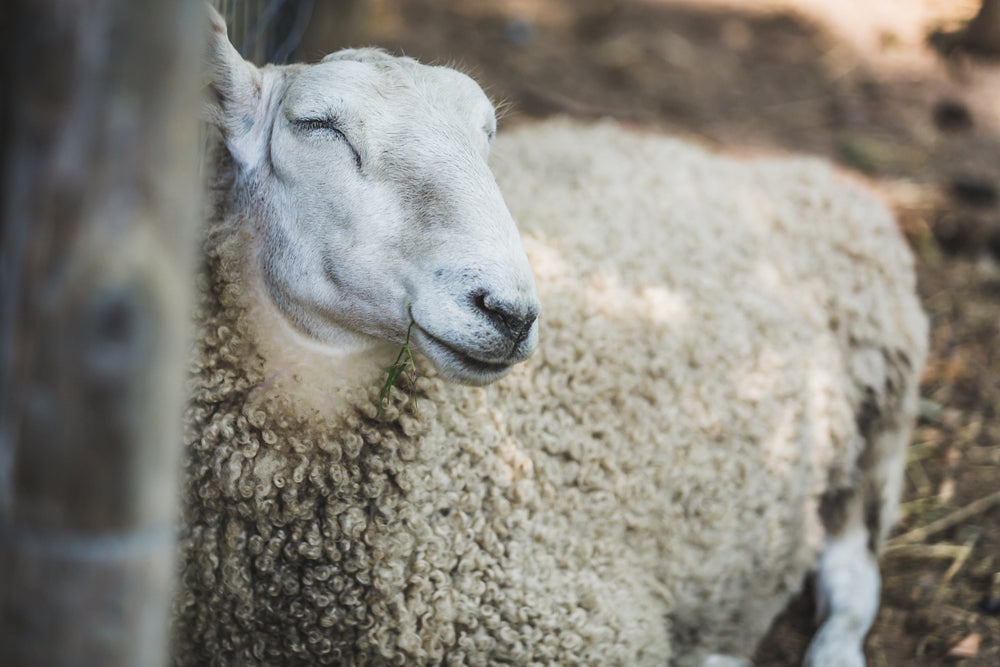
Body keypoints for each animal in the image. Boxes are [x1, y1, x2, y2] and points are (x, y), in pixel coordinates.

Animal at [174, 11, 928, 667]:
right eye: (318, 125)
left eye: (487, 135)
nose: (508, 312)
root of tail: (777, 168)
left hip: (881, 414)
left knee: (852, 574)